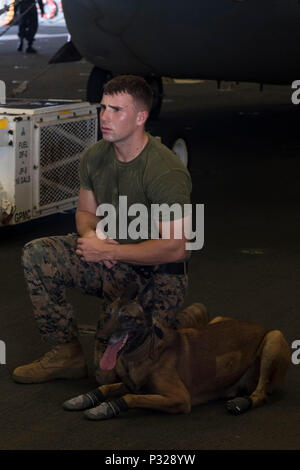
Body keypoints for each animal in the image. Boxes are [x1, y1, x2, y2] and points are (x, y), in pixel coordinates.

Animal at [63, 280, 290, 420]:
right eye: (107, 315)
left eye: (127, 318)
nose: (100, 338)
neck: (140, 355)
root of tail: (259, 326)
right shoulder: (131, 385)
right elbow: (106, 387)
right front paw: (85, 398)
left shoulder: (179, 398)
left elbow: (129, 398)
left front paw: (106, 407)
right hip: (218, 320)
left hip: (274, 338)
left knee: (261, 394)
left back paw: (242, 402)